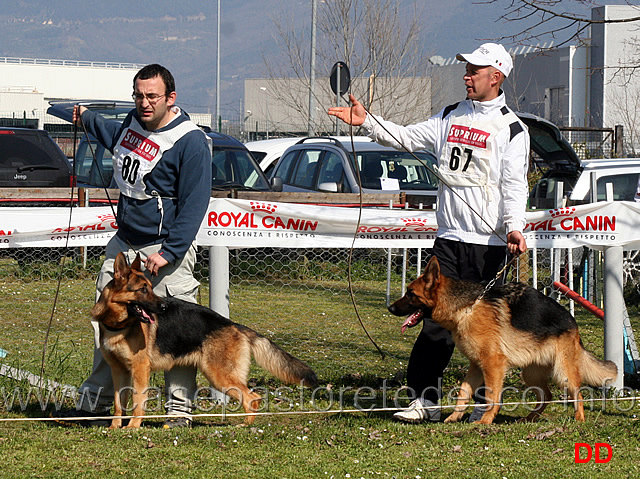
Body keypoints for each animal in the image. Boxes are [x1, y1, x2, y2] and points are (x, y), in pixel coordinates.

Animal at [92, 253, 318, 430]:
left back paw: (246, 425)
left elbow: (138, 401)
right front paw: (115, 427)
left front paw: (133, 427)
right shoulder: (119, 370)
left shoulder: (140, 370)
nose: (164, 307)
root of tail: (233, 324)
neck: (118, 325)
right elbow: (119, 403)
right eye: (142, 289)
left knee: (253, 398)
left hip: (218, 375)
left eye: (150, 288)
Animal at [388, 256, 616, 426]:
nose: (390, 308)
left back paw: (579, 419)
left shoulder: (493, 365)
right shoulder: (476, 366)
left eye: (410, 294)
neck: (466, 308)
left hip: (563, 373)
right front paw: (454, 417)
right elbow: (463, 392)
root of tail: (572, 322)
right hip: (531, 374)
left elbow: (491, 397)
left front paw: (485, 420)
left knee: (578, 394)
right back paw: (530, 418)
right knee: (547, 395)